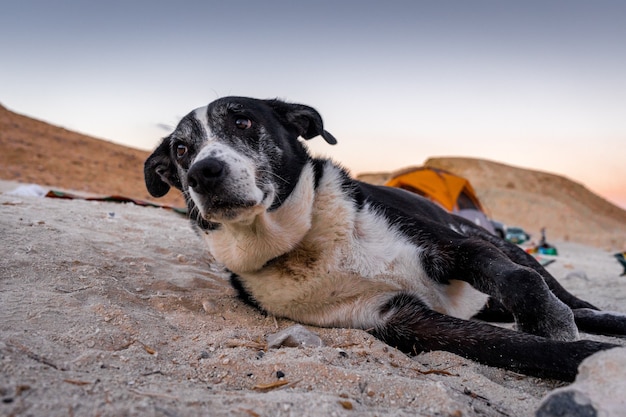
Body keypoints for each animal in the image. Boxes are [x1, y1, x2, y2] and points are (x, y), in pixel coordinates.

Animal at [143, 96, 624, 380]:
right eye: (181, 150)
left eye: (242, 121)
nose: (204, 172)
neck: (307, 242)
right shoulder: (404, 321)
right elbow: (523, 350)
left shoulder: (457, 247)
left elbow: (520, 285)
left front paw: (548, 322)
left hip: (506, 247)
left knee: (575, 301)